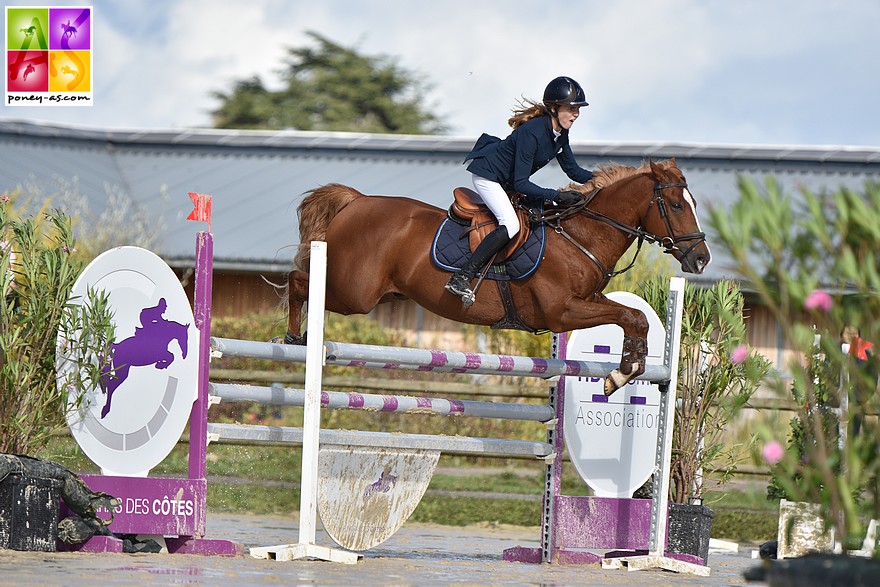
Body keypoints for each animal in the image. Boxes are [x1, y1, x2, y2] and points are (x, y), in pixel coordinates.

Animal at [286, 158, 712, 396]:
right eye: (676, 205)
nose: (701, 259)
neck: (580, 235)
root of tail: (355, 202)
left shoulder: (587, 302)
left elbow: (635, 317)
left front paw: (627, 370)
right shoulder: (562, 312)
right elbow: (628, 315)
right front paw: (622, 372)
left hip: (382, 294)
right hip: (355, 294)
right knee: (297, 280)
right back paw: (293, 338)